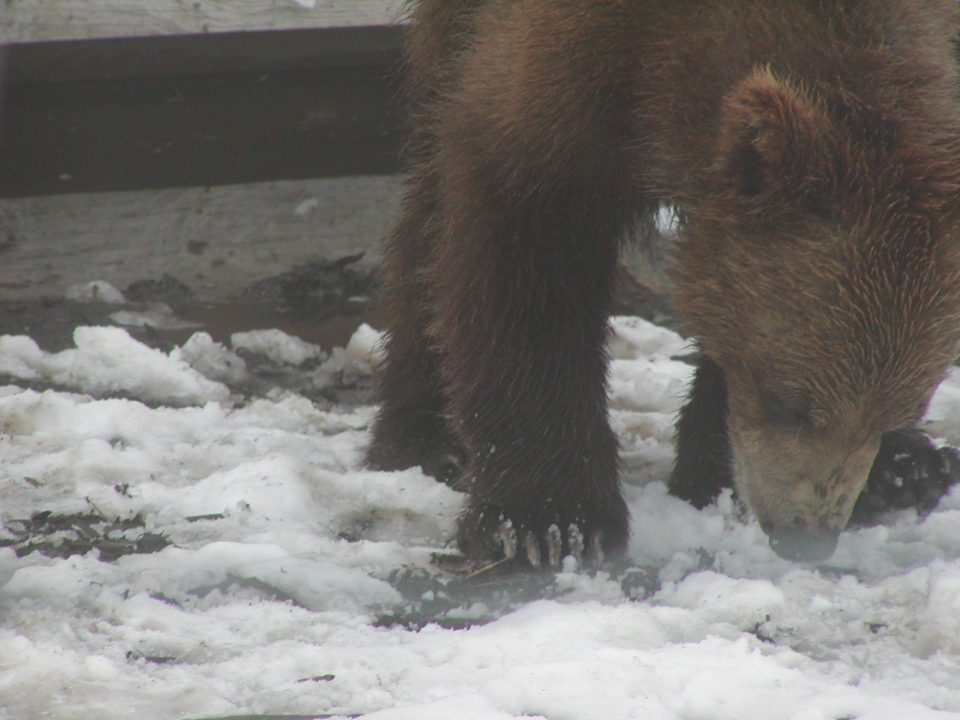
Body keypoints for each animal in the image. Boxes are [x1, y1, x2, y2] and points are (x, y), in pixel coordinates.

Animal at [364, 0, 960, 564]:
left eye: (897, 409)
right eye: (789, 403)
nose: (805, 535)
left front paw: (712, 470)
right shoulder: (573, 63)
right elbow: (527, 236)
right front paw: (550, 523)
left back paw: (912, 469)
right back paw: (422, 439)